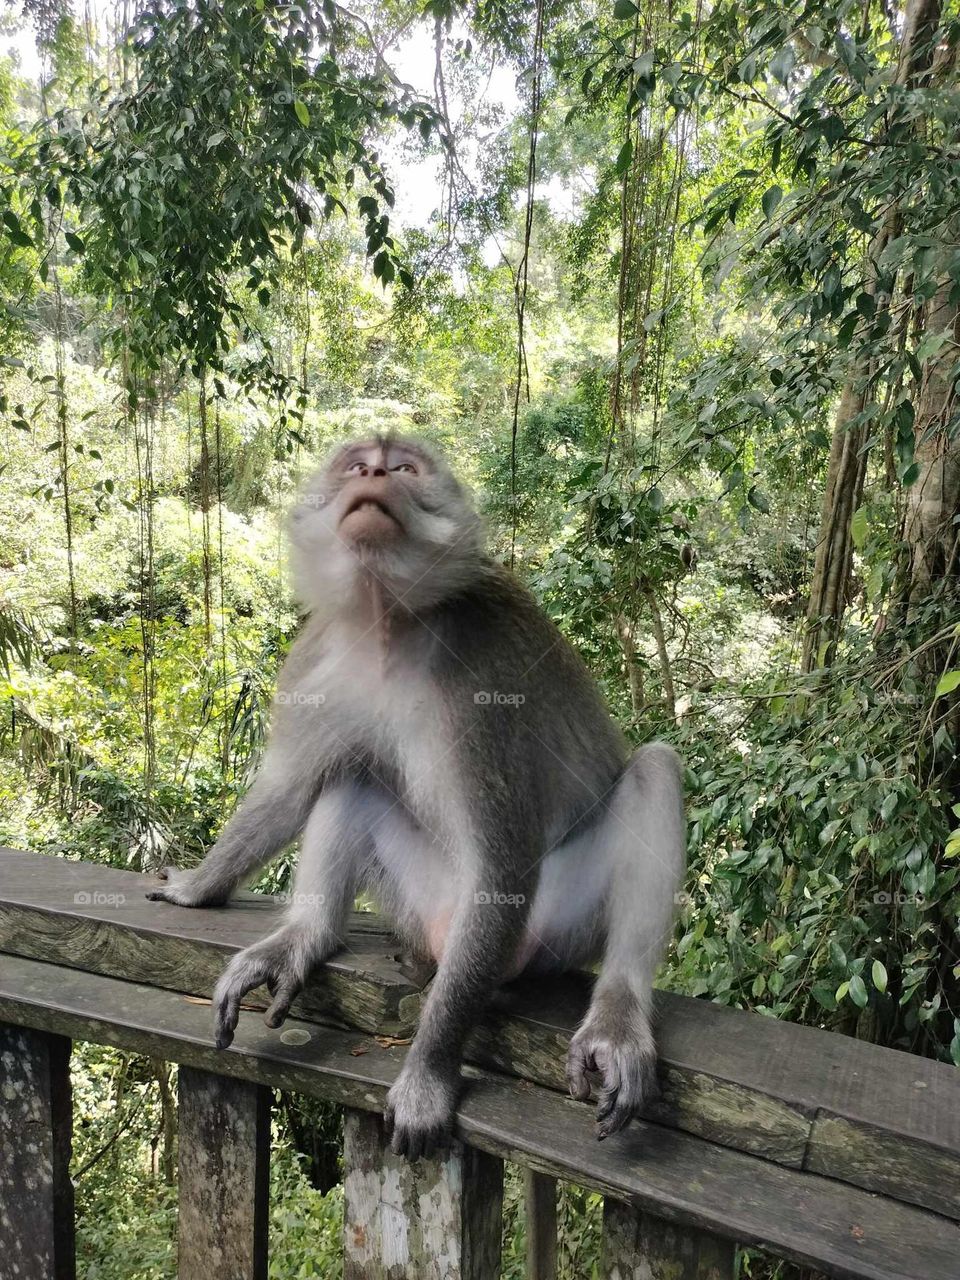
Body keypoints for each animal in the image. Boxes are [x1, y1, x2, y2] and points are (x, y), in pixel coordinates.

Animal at [147, 434, 685, 1159]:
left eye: (404, 467)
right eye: (357, 464)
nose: (375, 472)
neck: (386, 623)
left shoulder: (482, 692)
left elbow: (502, 863)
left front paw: (428, 1076)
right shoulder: (316, 658)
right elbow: (289, 790)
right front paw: (197, 885)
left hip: (548, 932)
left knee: (654, 771)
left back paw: (618, 1015)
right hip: (422, 902)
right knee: (353, 777)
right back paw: (303, 937)